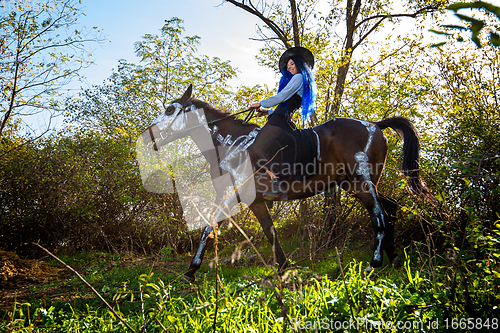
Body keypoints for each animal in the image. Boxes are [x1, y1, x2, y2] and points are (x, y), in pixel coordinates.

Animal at [141, 85, 434, 280]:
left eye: (170, 109)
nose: (146, 136)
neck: (229, 143)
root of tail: (375, 125)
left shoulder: (230, 194)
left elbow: (208, 227)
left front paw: (191, 270)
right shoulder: (252, 200)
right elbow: (269, 232)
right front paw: (284, 268)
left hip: (361, 183)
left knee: (380, 215)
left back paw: (374, 263)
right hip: (357, 184)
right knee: (391, 207)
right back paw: (393, 257)